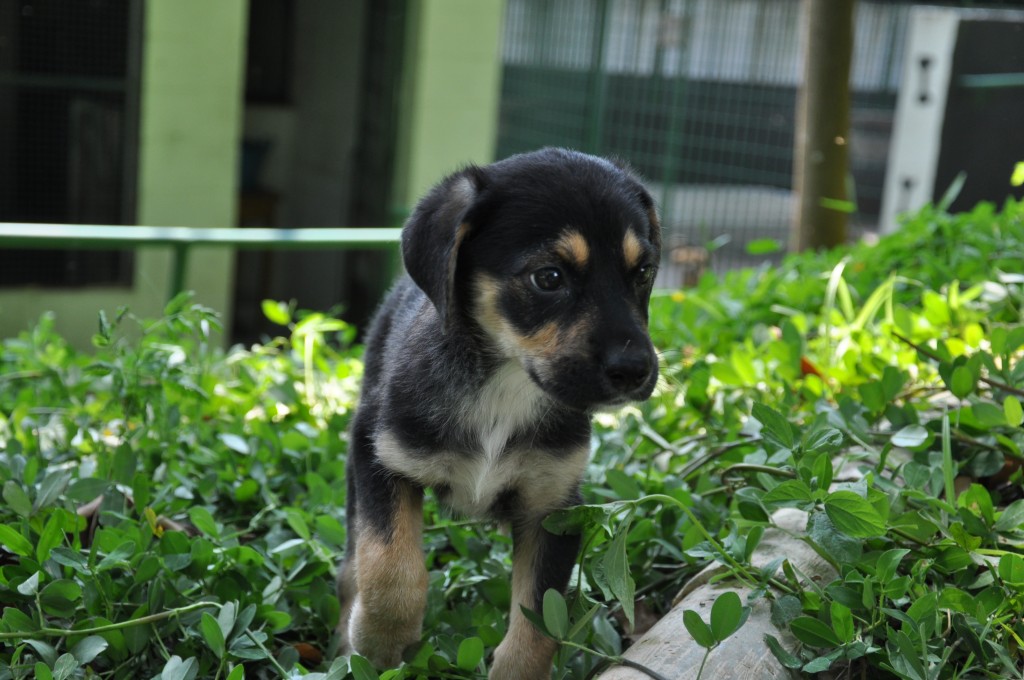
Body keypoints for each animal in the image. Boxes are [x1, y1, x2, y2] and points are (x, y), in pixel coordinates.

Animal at [339, 146, 659, 675]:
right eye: (548, 277)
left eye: (644, 273)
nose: (635, 371)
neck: (505, 385)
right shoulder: (381, 458)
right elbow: (391, 568)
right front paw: (378, 645)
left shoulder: (553, 509)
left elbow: (537, 629)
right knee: (352, 559)